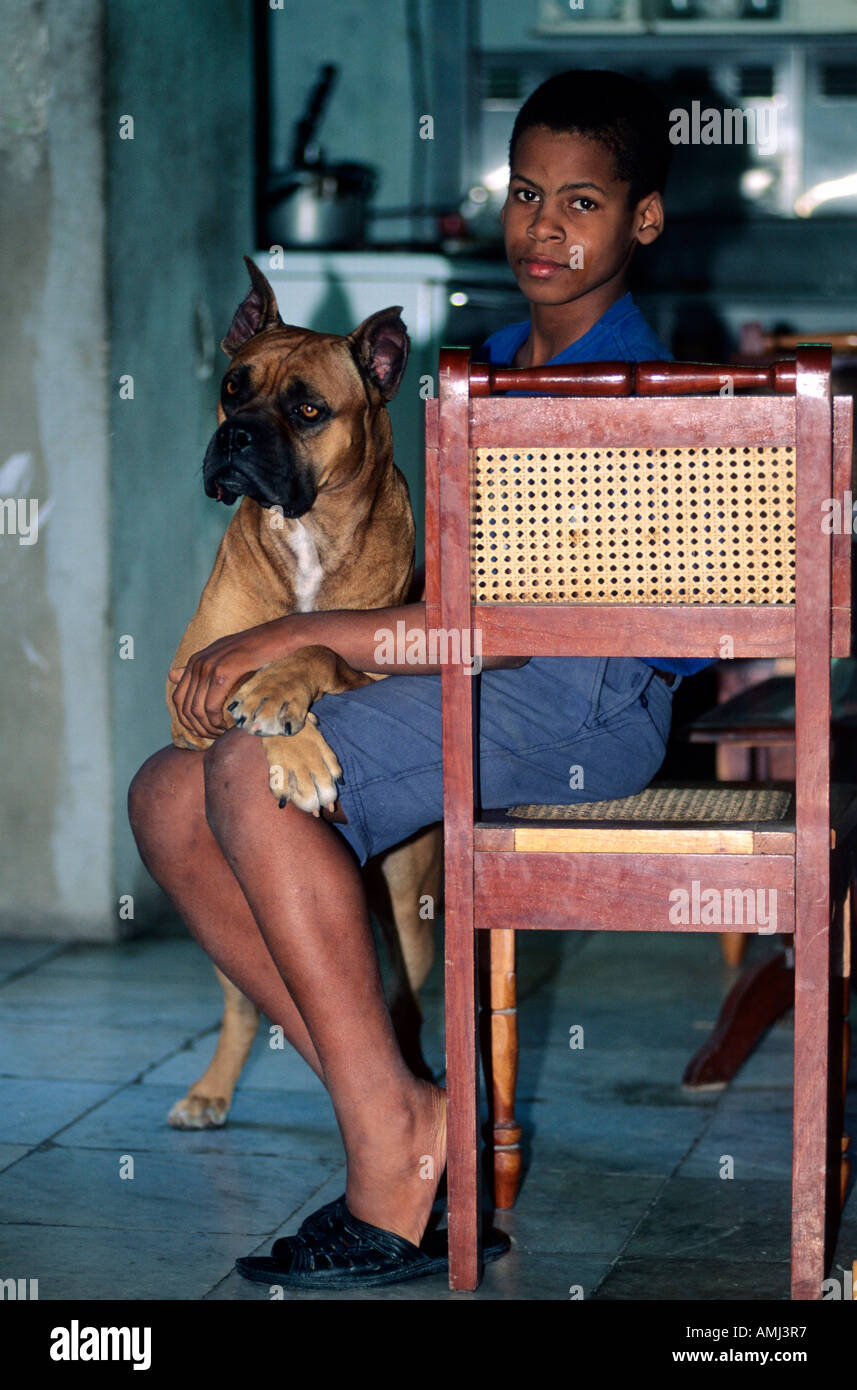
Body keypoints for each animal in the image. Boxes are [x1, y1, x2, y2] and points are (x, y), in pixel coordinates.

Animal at [163, 258, 441, 1128]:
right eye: (231, 387)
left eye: (307, 409)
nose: (236, 436)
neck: (306, 534)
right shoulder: (187, 698)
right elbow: (244, 690)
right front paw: (296, 746)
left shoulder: (397, 655)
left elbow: (313, 647)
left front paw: (287, 709)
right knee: (244, 1002)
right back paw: (212, 1089)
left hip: (410, 913)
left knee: (398, 1000)